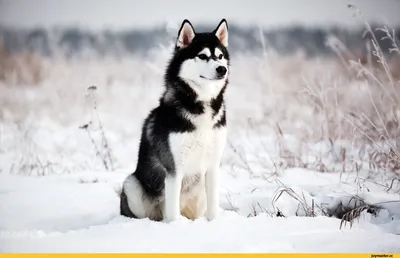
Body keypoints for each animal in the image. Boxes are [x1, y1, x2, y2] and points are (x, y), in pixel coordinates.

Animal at [120, 19, 230, 223]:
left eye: (220, 56)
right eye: (202, 56)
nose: (222, 69)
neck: (201, 104)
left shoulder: (213, 166)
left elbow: (213, 208)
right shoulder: (173, 168)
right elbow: (172, 212)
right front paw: (175, 227)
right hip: (132, 185)